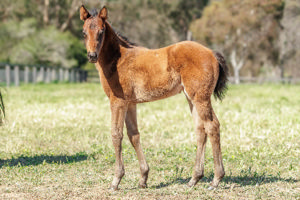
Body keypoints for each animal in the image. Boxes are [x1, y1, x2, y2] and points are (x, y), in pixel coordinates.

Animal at [80, 5, 230, 191]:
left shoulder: (117, 101)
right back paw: (194, 178)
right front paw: (143, 178)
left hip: (200, 98)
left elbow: (116, 134)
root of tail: (211, 53)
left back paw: (216, 179)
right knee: (200, 130)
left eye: (101, 32)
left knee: (212, 126)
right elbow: (133, 135)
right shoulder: (130, 103)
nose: (92, 56)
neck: (118, 60)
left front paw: (116, 181)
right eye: (84, 32)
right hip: (191, 98)